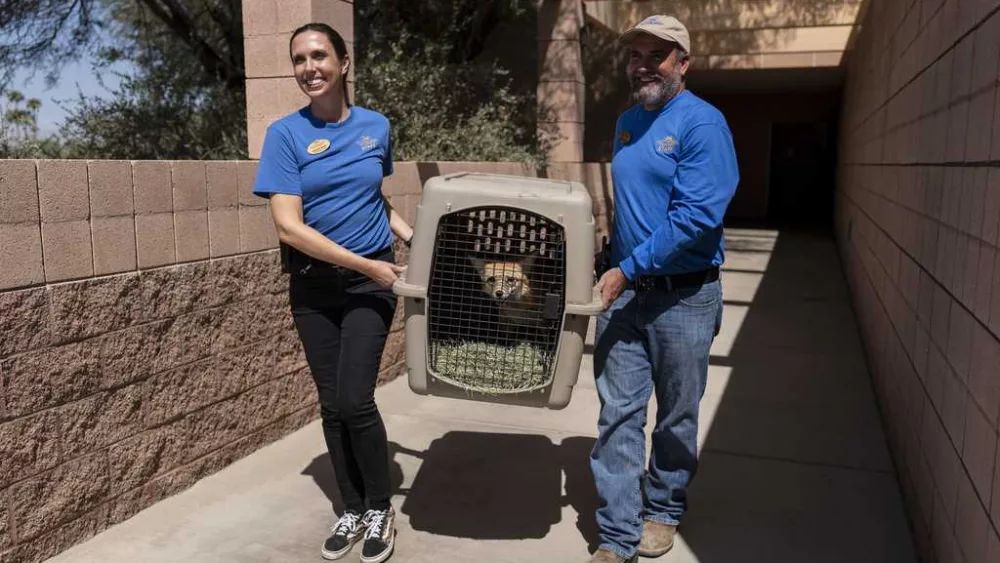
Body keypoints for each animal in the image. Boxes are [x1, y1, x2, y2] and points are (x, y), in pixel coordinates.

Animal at [392, 172, 600, 410]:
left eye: (510, 280)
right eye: (492, 279)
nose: (499, 294)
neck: (517, 310)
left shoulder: (540, 327)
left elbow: (543, 349)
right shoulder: (506, 325)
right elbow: (507, 344)